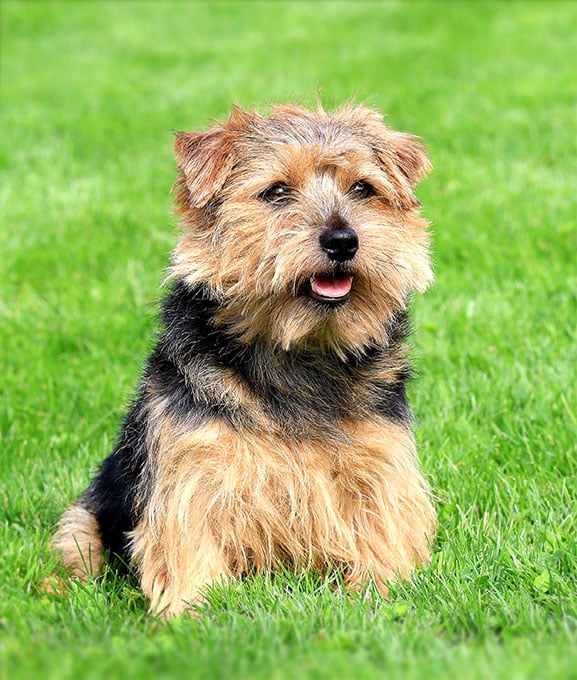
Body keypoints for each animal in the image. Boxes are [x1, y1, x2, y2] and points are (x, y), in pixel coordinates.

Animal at [54, 105, 436, 616]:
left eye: (362, 188)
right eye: (276, 192)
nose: (342, 239)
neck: (299, 351)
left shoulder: (380, 462)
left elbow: (384, 530)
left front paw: (379, 591)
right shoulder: (194, 467)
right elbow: (188, 542)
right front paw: (192, 613)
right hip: (86, 515)